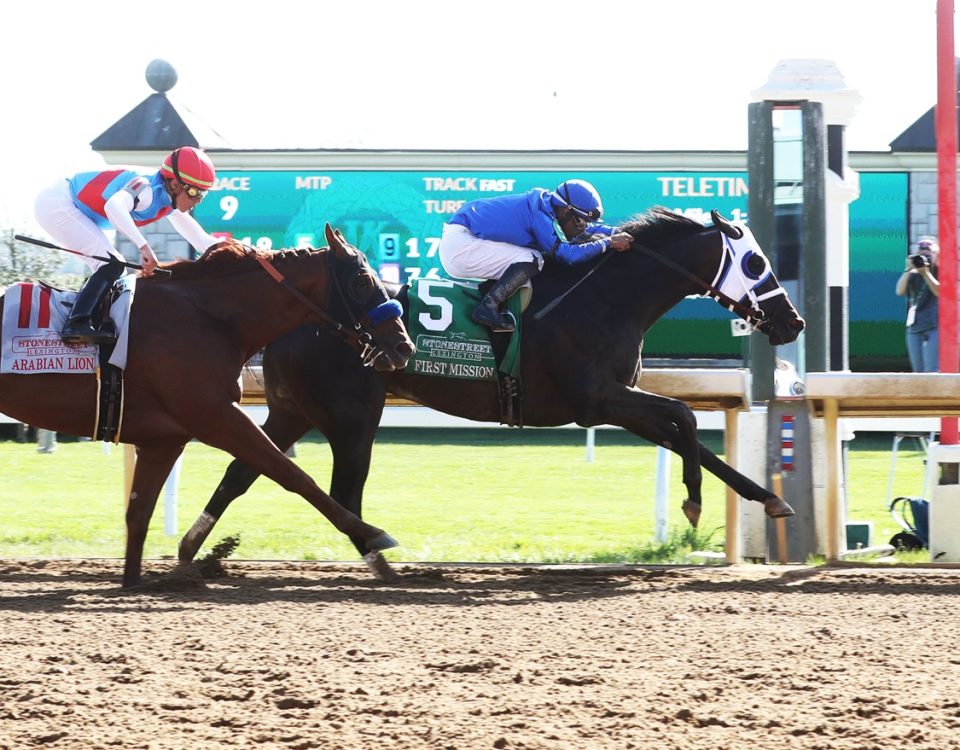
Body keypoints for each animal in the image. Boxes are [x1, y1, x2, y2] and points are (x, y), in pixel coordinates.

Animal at [0, 223, 414, 588]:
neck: (211, 318)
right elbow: (292, 474)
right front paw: (374, 534)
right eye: (362, 281)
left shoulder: (165, 439)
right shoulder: (216, 416)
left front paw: (139, 582)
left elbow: (139, 513)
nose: (403, 346)